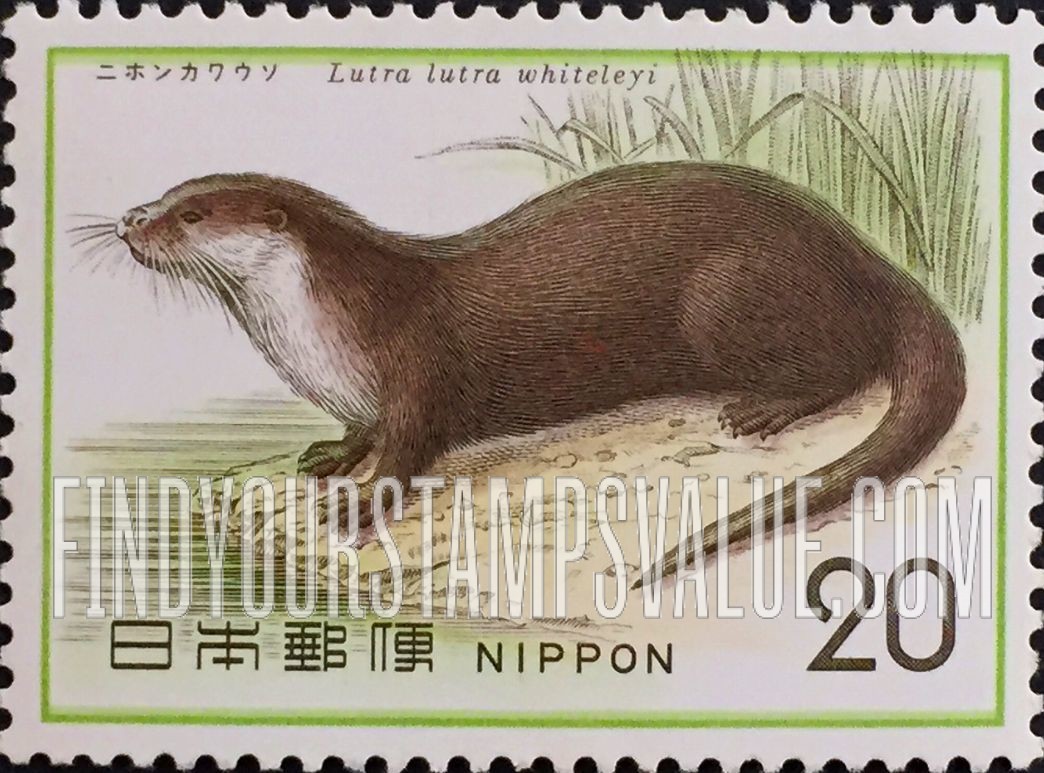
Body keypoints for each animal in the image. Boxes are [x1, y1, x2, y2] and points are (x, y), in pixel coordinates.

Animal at [112, 162, 966, 581]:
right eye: (168, 195)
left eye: (191, 213)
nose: (129, 217)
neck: (313, 334)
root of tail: (864, 255)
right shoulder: (355, 395)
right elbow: (360, 430)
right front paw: (330, 456)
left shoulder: (416, 366)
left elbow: (409, 447)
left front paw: (360, 504)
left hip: (733, 293)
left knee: (843, 365)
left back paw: (766, 408)